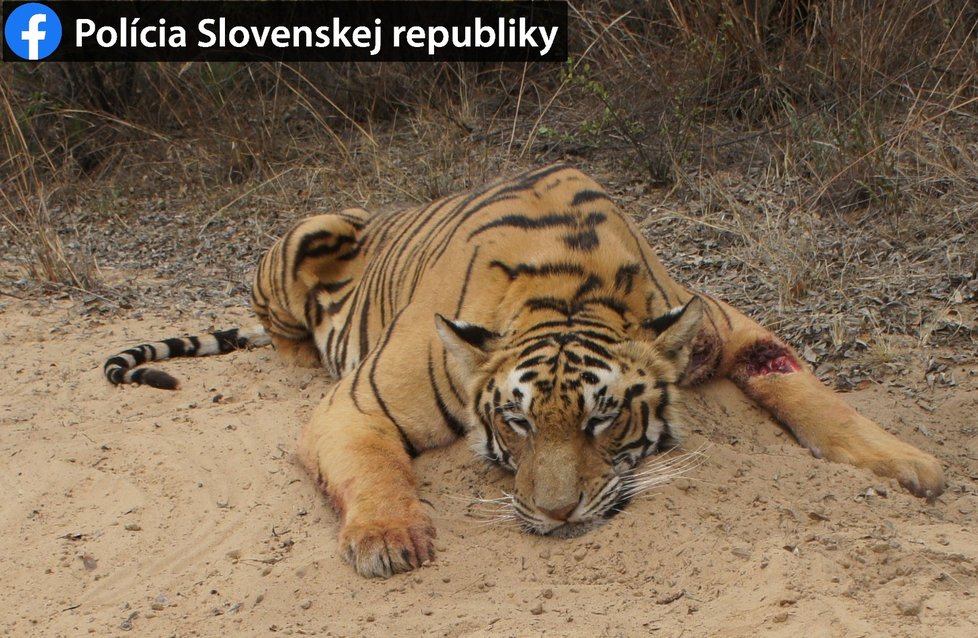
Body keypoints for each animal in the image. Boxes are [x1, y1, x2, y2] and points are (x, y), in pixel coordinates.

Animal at [103, 164, 940, 580]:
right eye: (516, 421)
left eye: (604, 418)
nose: (557, 515)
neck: (570, 289)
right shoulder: (357, 403)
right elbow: (375, 468)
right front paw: (388, 537)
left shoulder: (723, 321)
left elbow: (808, 388)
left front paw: (908, 464)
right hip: (313, 227)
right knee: (282, 330)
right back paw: (300, 349)